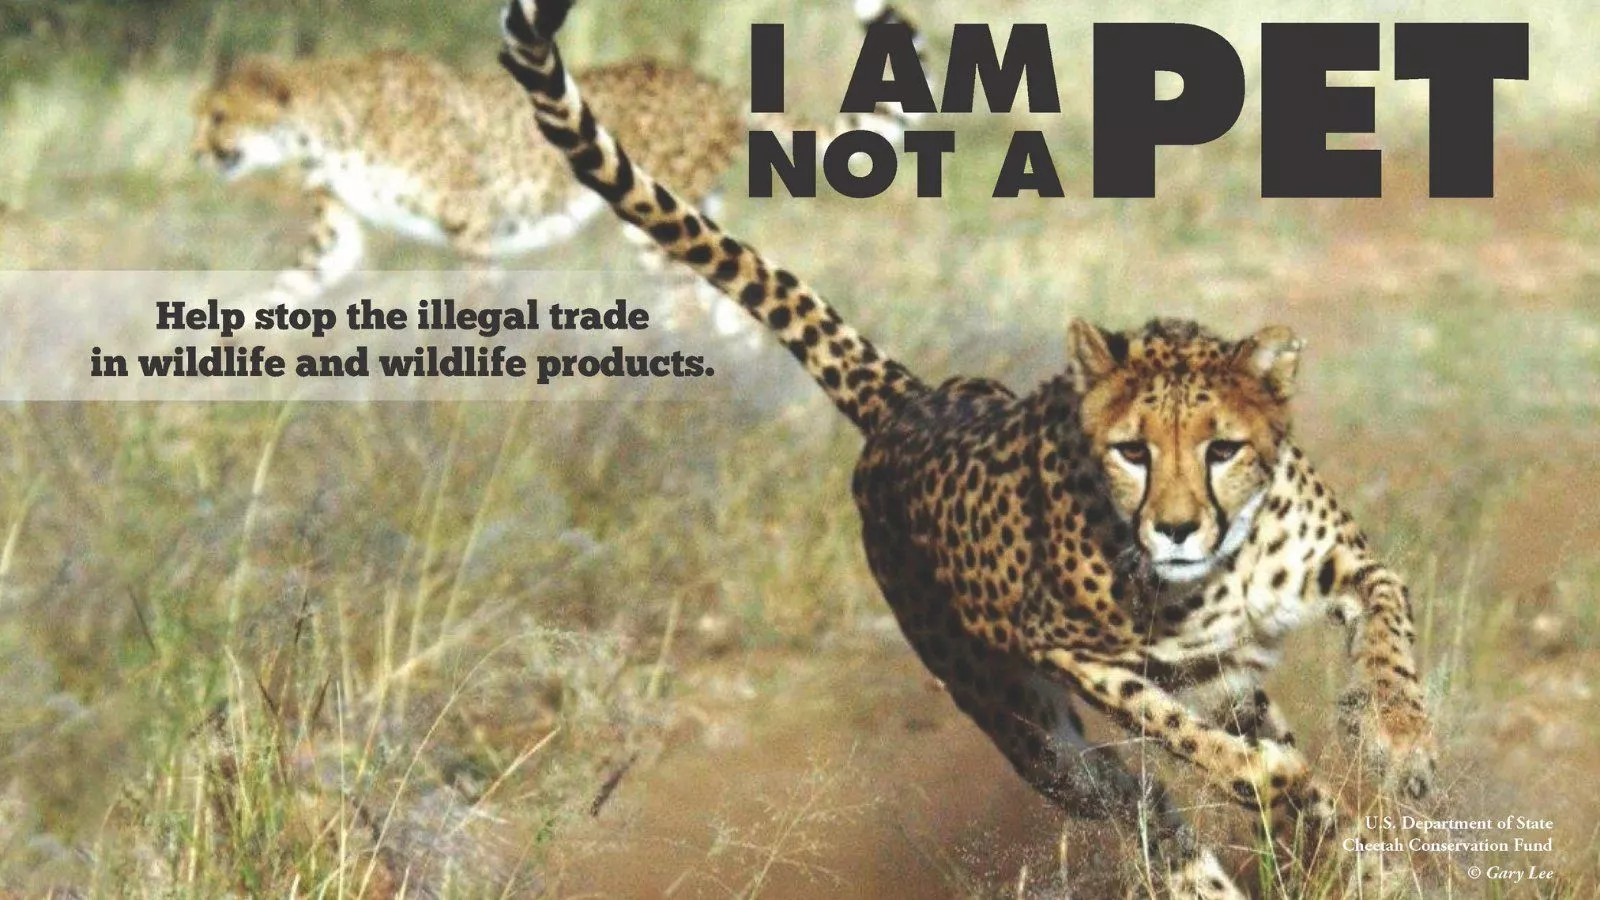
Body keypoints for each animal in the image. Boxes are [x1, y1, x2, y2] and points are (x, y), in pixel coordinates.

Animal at [190, 0, 931, 340]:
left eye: (219, 116)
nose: (195, 151)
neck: (322, 126)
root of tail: (717, 87)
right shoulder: (336, 237)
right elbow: (281, 288)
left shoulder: (471, 217)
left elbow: (476, 304)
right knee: (743, 313)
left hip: (653, 223)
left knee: (694, 313)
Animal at [498, 1, 1439, 896]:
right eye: (1132, 451)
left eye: (1222, 449)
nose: (1175, 530)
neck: (1218, 568)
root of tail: (911, 403)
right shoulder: (1076, 654)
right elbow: (1188, 742)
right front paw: (1277, 777)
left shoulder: (1346, 566)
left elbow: (1389, 638)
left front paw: (1400, 741)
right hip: (1028, 731)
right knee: (1132, 795)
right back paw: (1216, 870)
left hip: (1210, 691)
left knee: (1233, 787)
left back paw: (1365, 862)